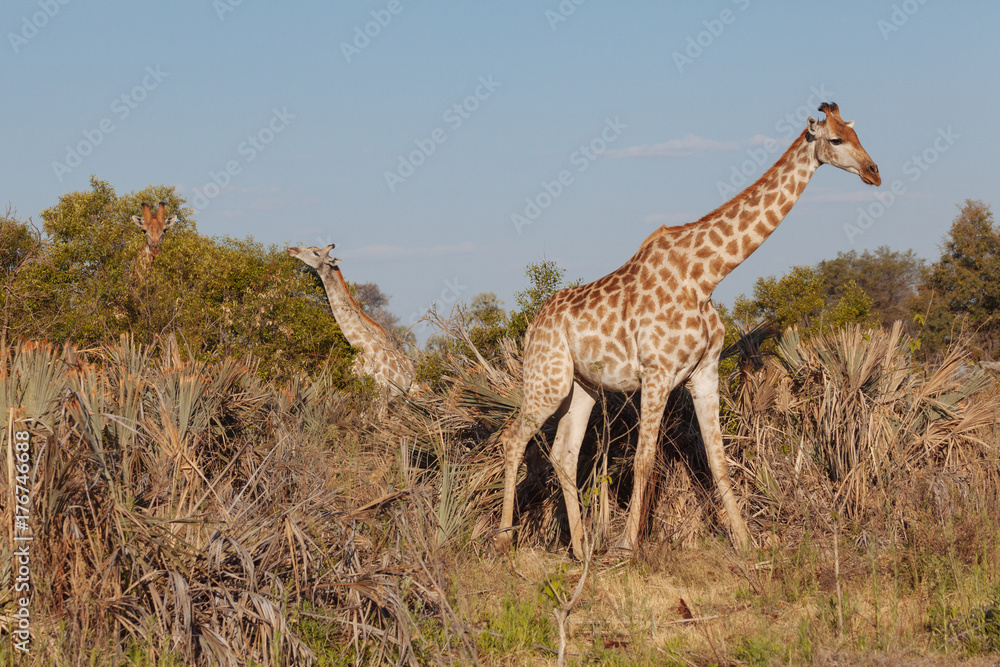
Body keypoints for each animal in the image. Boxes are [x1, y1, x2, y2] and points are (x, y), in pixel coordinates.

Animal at [498, 103, 880, 557]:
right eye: (836, 140)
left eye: (858, 136)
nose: (874, 172)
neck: (706, 274)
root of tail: (531, 326)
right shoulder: (657, 373)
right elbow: (645, 460)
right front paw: (627, 546)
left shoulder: (704, 372)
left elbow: (718, 458)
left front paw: (747, 544)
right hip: (547, 378)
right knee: (513, 439)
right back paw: (502, 539)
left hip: (582, 386)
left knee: (563, 454)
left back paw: (580, 549)